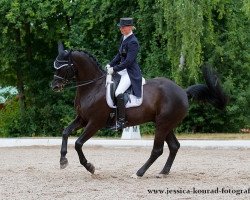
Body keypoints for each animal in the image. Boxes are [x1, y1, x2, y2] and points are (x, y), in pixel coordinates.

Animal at [51, 43, 229, 177]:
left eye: (63, 67)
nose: (54, 87)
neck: (93, 87)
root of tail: (183, 92)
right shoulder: (82, 118)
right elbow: (65, 132)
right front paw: (62, 161)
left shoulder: (95, 122)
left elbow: (78, 143)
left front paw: (90, 167)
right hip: (165, 124)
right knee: (174, 146)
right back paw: (163, 172)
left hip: (163, 124)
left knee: (158, 150)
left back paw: (139, 173)